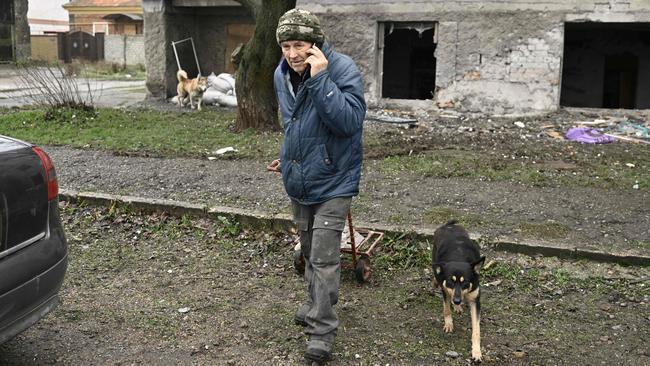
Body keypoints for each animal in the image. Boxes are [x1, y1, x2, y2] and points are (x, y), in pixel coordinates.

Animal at [430, 220, 480, 360]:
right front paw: (448, 324)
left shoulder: (475, 299)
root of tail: (448, 225)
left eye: (466, 283)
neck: (459, 257)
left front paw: (477, 352)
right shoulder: (445, 289)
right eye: (451, 282)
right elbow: (446, 309)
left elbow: (476, 329)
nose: (457, 301)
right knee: (436, 271)